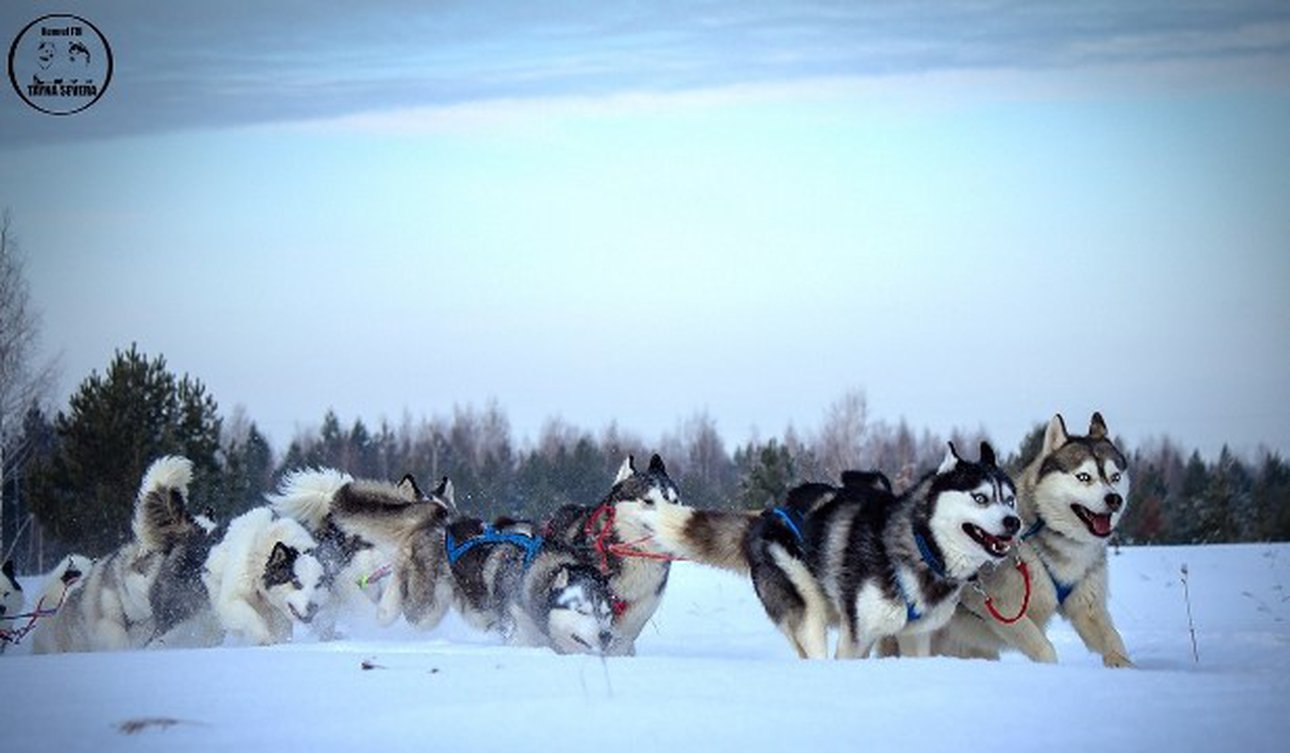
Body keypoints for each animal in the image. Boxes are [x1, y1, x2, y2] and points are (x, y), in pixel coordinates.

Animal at [202, 505, 330, 647]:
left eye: (318, 584)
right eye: (296, 583)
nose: (314, 608)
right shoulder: (229, 602)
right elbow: (252, 617)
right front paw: (265, 639)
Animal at [629, 443, 1021, 655]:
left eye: (1010, 499)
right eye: (980, 498)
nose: (1013, 523)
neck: (918, 544)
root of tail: (763, 519)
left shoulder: (916, 636)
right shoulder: (857, 636)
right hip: (808, 614)